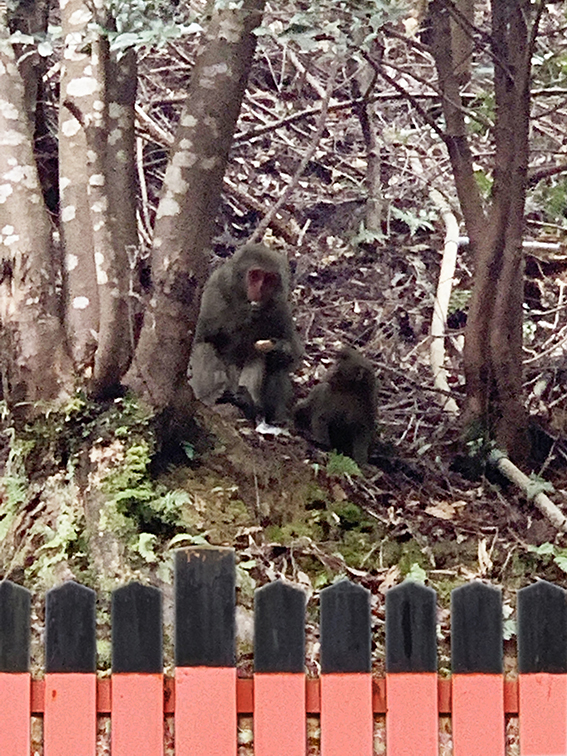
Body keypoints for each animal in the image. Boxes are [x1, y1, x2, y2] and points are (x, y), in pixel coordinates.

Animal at [189, 245, 302, 422]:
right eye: (255, 275)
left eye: (269, 279)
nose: (260, 291)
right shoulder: (213, 294)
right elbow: (198, 339)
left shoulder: (280, 309)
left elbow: (293, 356)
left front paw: (280, 348)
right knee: (204, 347)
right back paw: (213, 399)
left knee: (267, 359)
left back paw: (252, 405)